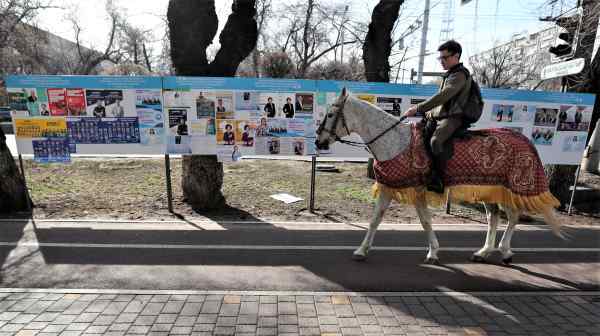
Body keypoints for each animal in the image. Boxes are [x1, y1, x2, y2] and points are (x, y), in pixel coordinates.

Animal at [316, 88, 564, 266]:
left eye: (330, 114)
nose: (319, 142)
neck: (396, 142)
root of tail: (525, 140)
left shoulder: (416, 190)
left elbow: (425, 220)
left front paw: (433, 252)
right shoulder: (388, 187)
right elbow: (375, 219)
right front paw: (361, 250)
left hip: (508, 187)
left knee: (512, 216)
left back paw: (504, 251)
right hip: (489, 189)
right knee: (493, 217)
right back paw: (483, 252)